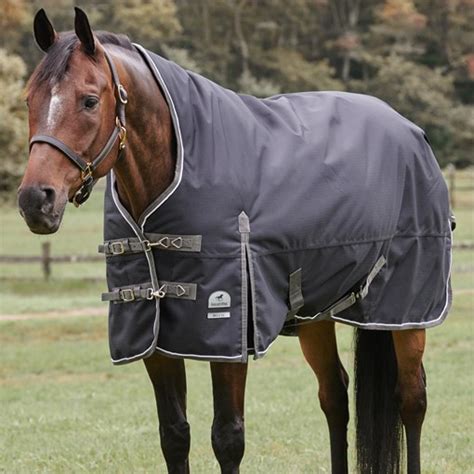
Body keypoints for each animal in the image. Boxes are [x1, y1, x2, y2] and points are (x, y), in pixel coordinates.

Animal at [18, 8, 453, 474]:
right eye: (28, 100)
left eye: (88, 100)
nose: (35, 200)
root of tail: (410, 130)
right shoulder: (155, 340)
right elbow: (174, 436)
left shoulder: (229, 336)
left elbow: (227, 438)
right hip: (316, 314)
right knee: (335, 397)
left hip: (406, 312)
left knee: (412, 399)